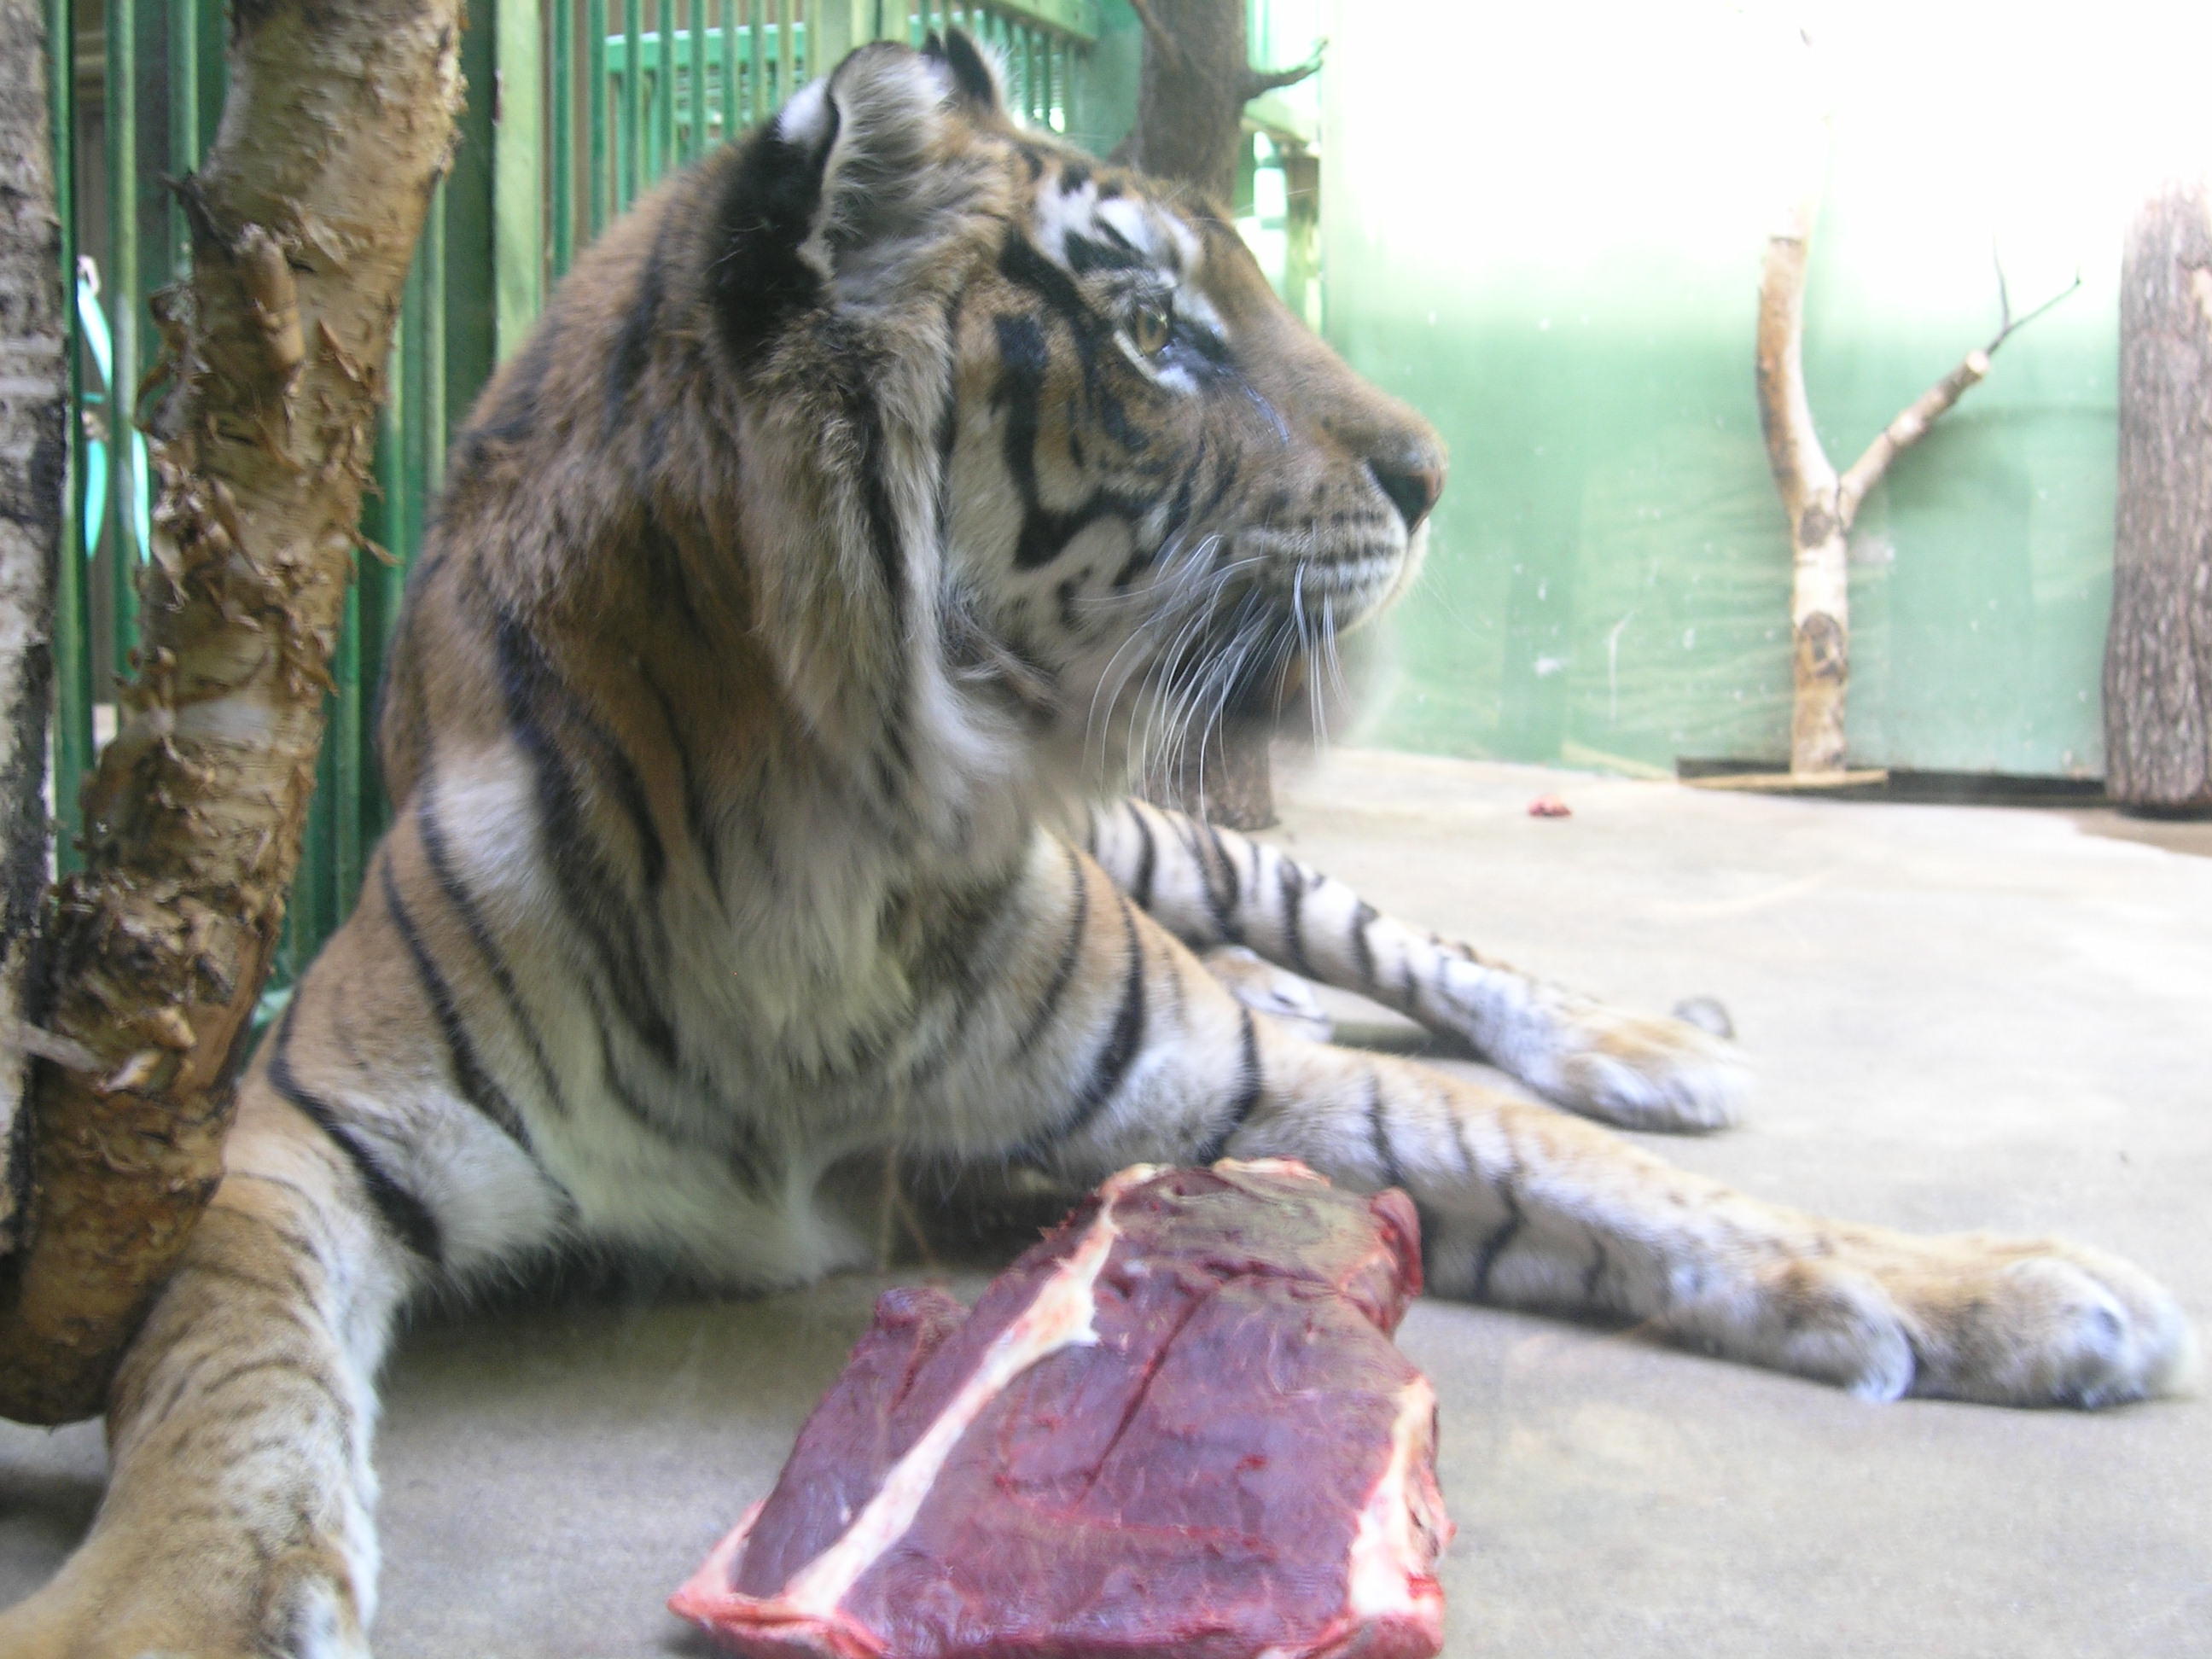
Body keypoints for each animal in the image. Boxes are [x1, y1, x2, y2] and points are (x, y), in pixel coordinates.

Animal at [4, 29, 2194, 1659]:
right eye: (1151, 325)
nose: (1436, 471)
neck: (827, 832)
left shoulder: (1210, 1078)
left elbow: (1596, 1176)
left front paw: (2001, 1286)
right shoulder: (281, 1130)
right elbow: (222, 1374)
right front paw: (159, 1607)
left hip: (1204, 853)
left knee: (1419, 954)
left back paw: (1644, 1042)